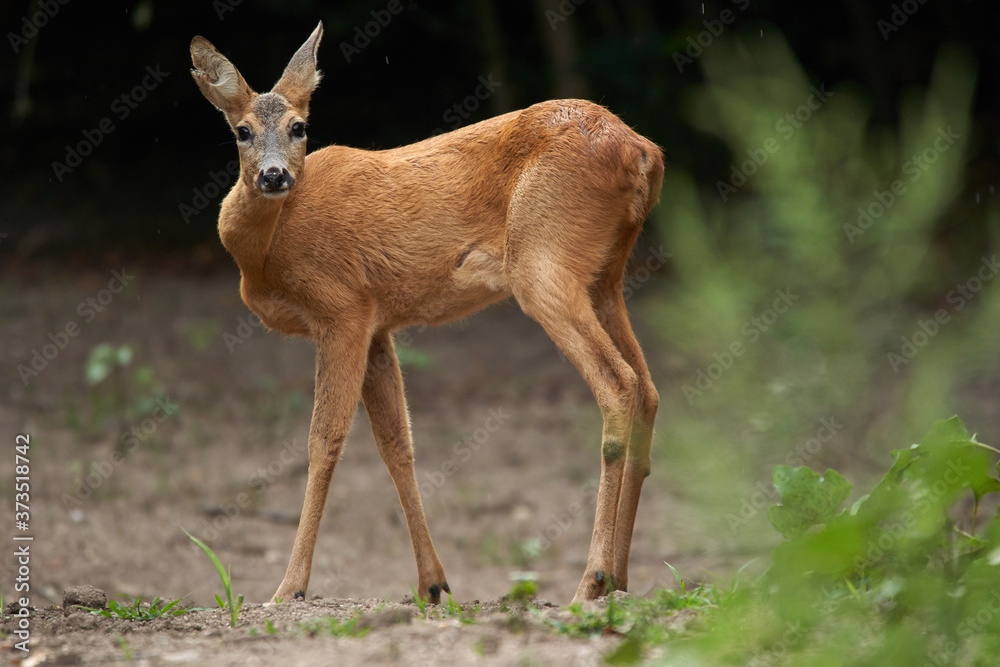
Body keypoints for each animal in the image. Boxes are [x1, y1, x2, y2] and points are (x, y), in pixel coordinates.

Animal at [191, 22, 664, 604]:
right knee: (648, 389)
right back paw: (620, 580)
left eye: (299, 126)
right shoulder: (377, 324)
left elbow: (323, 440)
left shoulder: (342, 309)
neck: (263, 256)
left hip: (542, 261)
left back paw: (590, 581)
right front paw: (432, 584)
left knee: (618, 384)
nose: (275, 176)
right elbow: (398, 444)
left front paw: (289, 588)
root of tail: (642, 151)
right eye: (242, 132)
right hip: (605, 277)